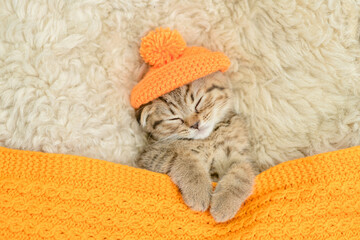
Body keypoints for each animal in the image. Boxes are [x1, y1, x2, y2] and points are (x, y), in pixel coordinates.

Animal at [134, 71, 256, 223]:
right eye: (174, 118)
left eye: (198, 102)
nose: (195, 124)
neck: (208, 139)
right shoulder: (150, 156)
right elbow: (184, 159)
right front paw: (199, 191)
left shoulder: (241, 155)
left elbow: (242, 172)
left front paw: (224, 203)